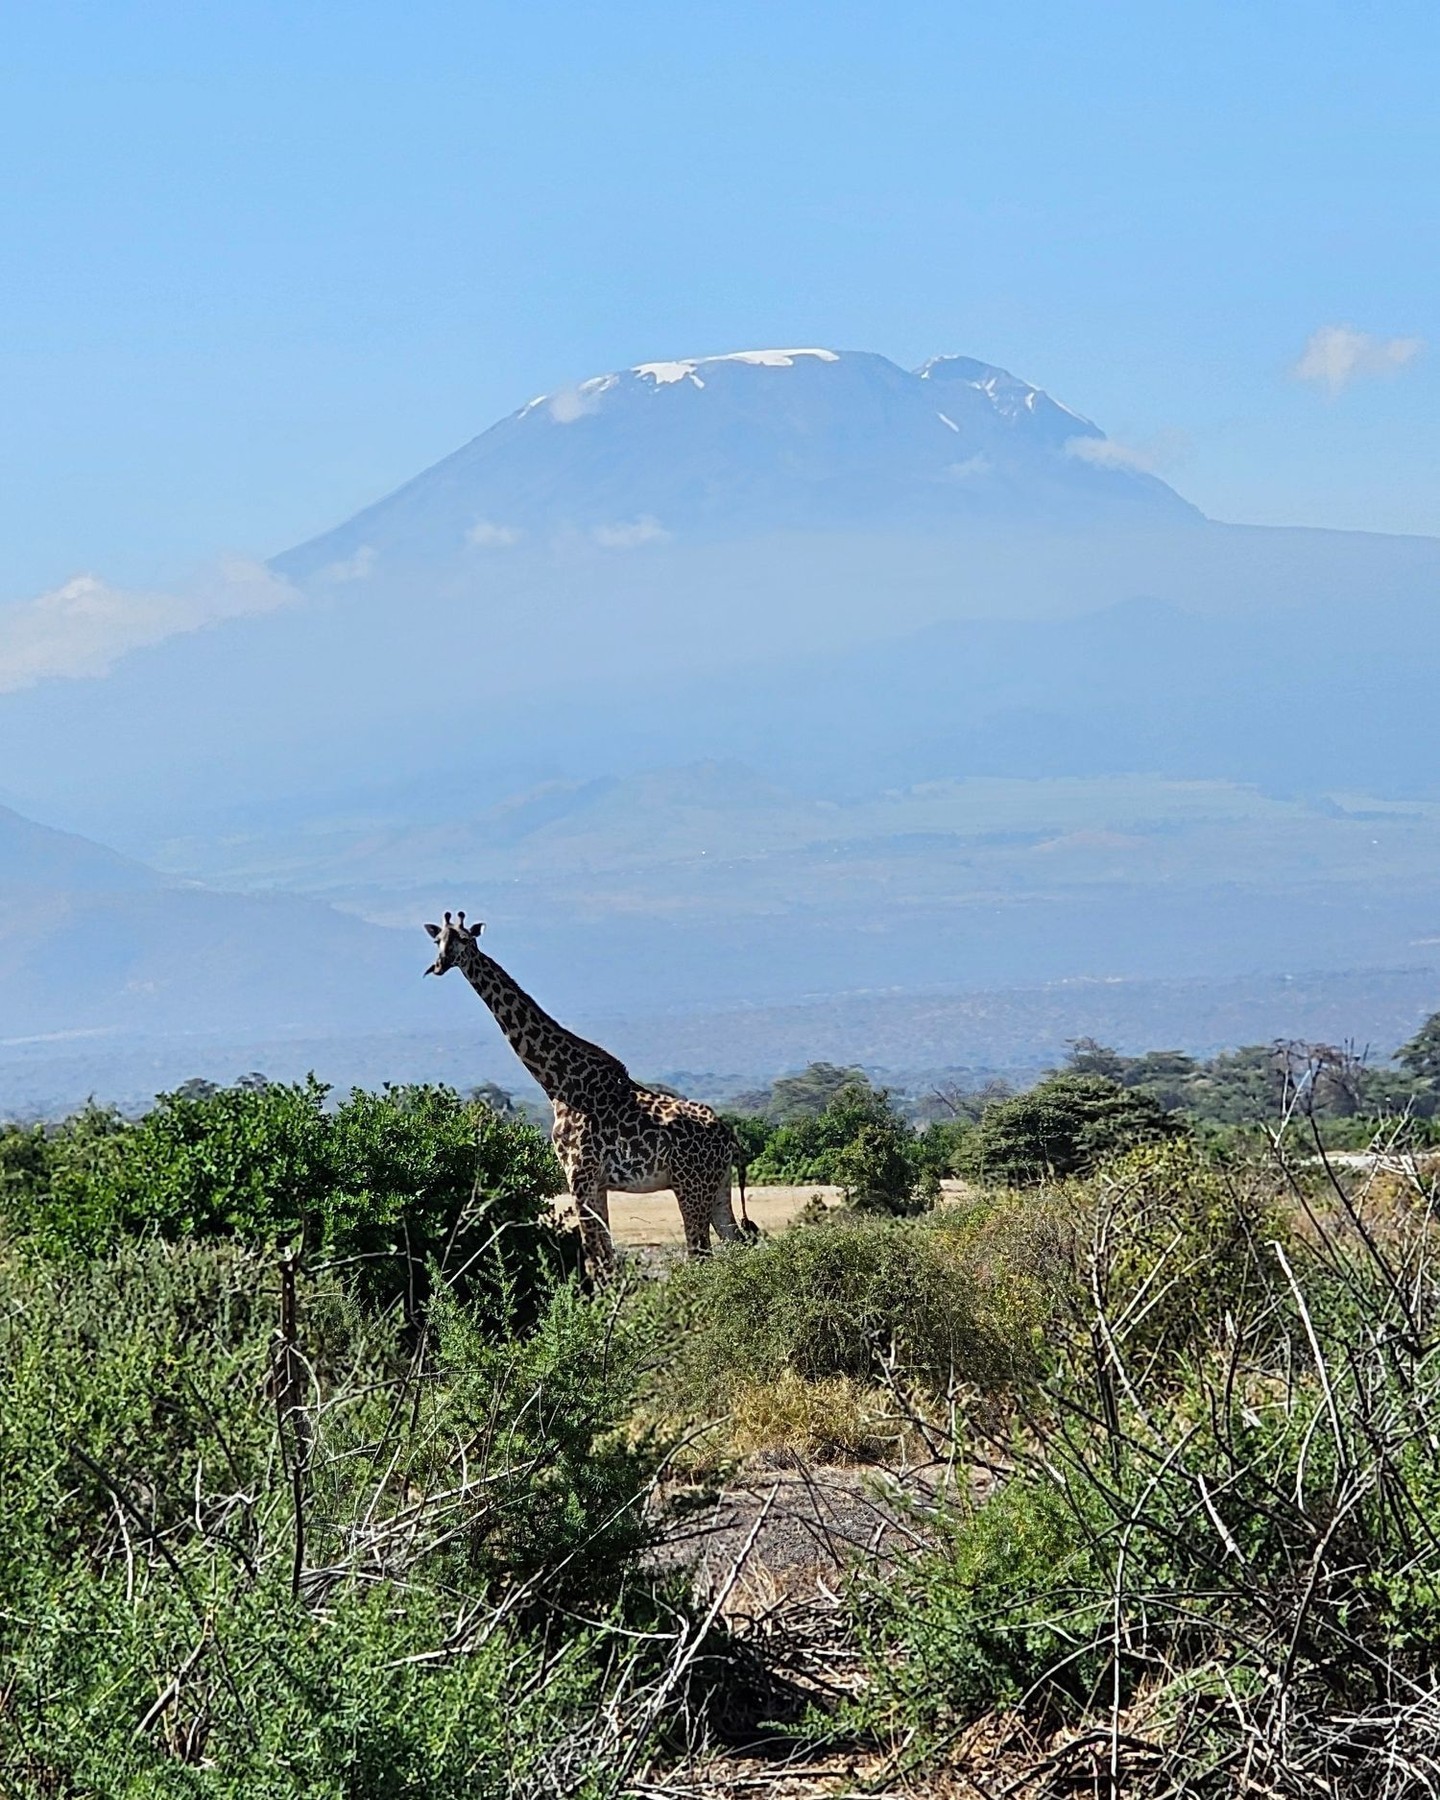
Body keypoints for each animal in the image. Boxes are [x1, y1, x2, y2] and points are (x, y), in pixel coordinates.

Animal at [424, 912, 749, 1273]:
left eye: (465, 940)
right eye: (438, 940)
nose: (439, 965)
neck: (558, 1084)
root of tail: (728, 1136)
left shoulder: (579, 1177)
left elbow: (598, 1260)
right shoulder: (595, 1183)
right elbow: (605, 1257)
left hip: (690, 1185)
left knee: (700, 1253)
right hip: (718, 1187)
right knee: (738, 1244)